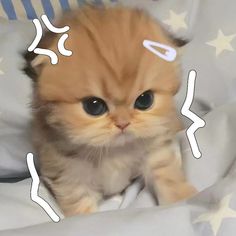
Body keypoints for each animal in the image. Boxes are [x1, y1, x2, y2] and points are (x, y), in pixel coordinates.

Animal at [24, 5, 197, 216]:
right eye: (94, 106)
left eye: (145, 100)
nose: (123, 123)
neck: (115, 151)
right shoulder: (69, 176)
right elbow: (81, 207)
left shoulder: (156, 148)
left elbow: (167, 175)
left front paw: (182, 201)